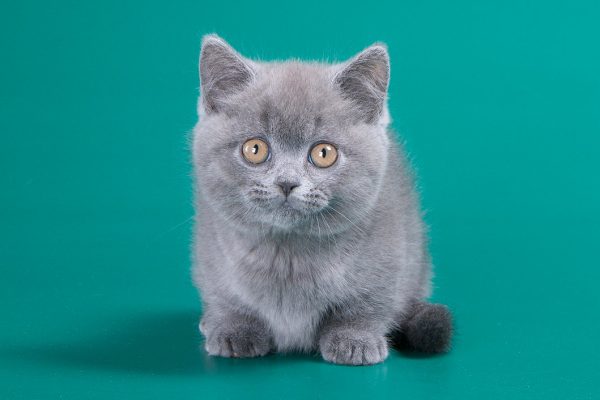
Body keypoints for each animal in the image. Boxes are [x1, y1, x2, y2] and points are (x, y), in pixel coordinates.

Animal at [192, 35, 450, 366]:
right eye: (255, 149)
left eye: (323, 153)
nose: (287, 182)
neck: (288, 253)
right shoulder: (212, 253)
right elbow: (226, 297)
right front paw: (235, 330)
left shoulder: (389, 252)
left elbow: (367, 303)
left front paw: (355, 339)